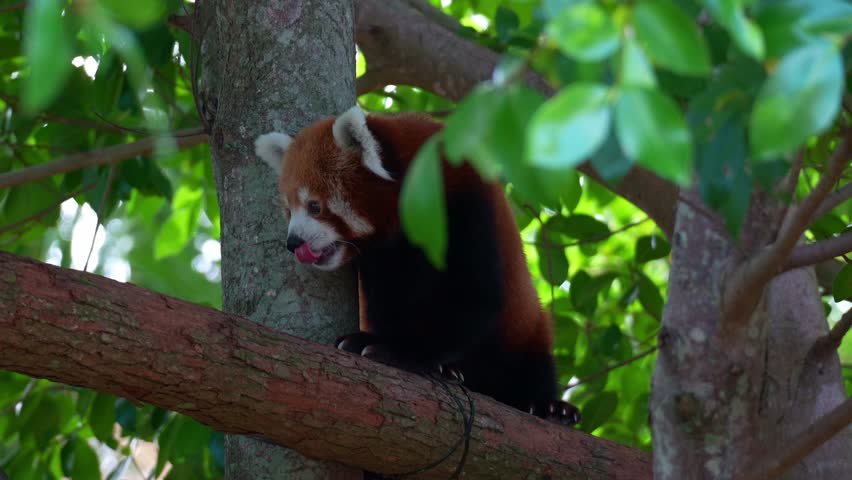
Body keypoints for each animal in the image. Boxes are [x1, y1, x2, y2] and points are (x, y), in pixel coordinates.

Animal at [255, 105, 579, 425]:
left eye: (315, 206)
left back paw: (550, 407)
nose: (293, 243)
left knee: (532, 365)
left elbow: (474, 297)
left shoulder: (466, 204)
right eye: (289, 210)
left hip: (525, 331)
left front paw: (396, 349)